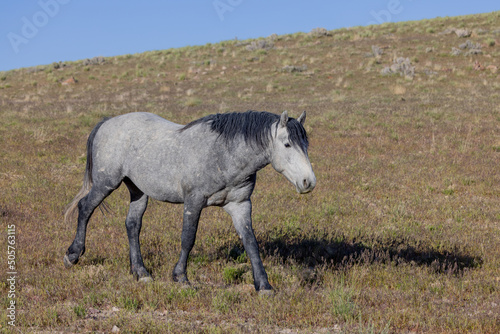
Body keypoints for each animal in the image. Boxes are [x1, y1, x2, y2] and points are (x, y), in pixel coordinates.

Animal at [62, 110, 314, 292]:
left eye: (306, 144)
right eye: (287, 144)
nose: (308, 182)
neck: (223, 154)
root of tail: (107, 122)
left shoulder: (240, 205)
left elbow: (250, 242)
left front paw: (263, 285)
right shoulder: (194, 202)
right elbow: (188, 238)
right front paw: (181, 277)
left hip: (138, 191)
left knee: (132, 225)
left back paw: (141, 273)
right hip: (106, 183)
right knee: (85, 208)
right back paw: (73, 255)